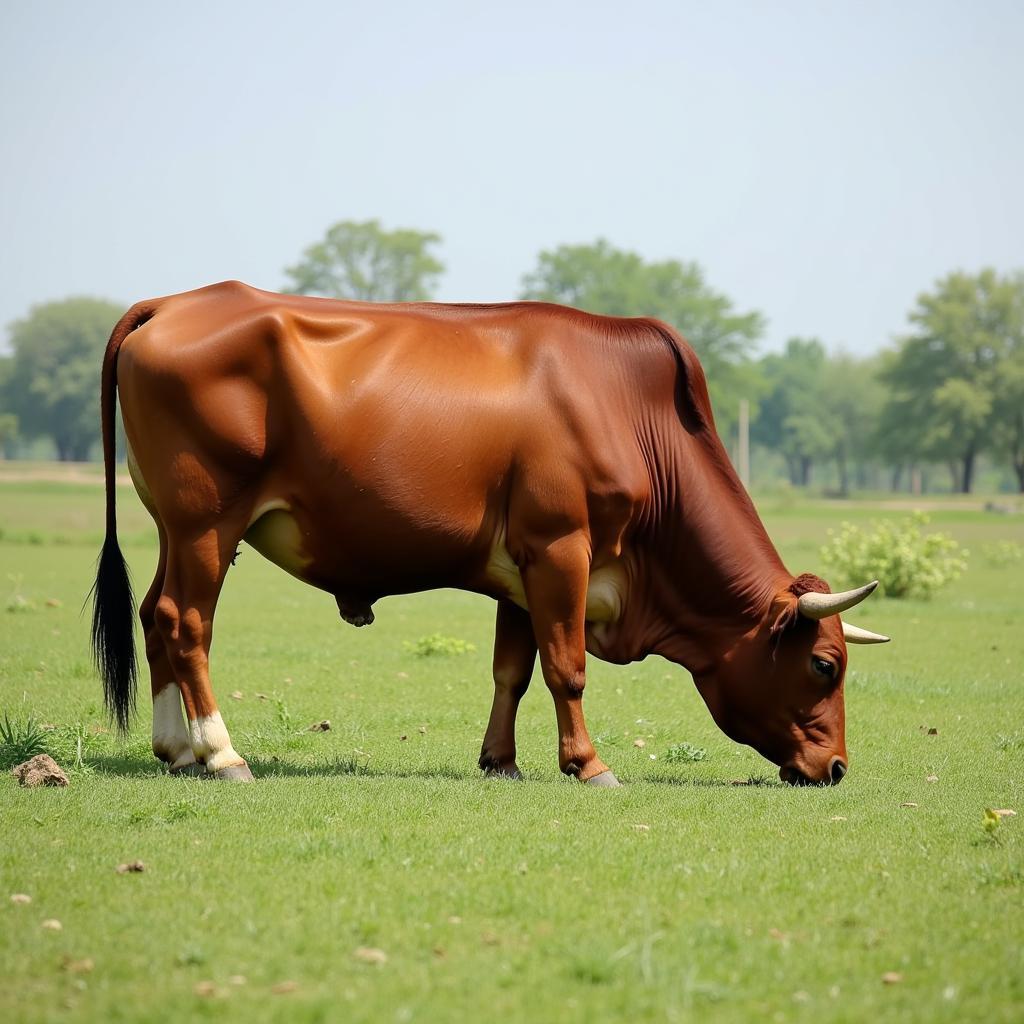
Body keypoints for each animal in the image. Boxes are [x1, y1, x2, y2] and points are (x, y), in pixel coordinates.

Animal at [90, 284, 888, 786]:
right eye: (825, 665)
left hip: (174, 528)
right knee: (185, 621)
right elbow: (567, 668)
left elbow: (513, 669)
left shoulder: (522, 568)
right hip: (208, 522)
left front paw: (500, 761)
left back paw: (176, 749)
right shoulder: (563, 548)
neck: (634, 416)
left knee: (152, 615)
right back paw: (221, 754)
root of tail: (172, 302)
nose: (836, 768)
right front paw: (589, 765)